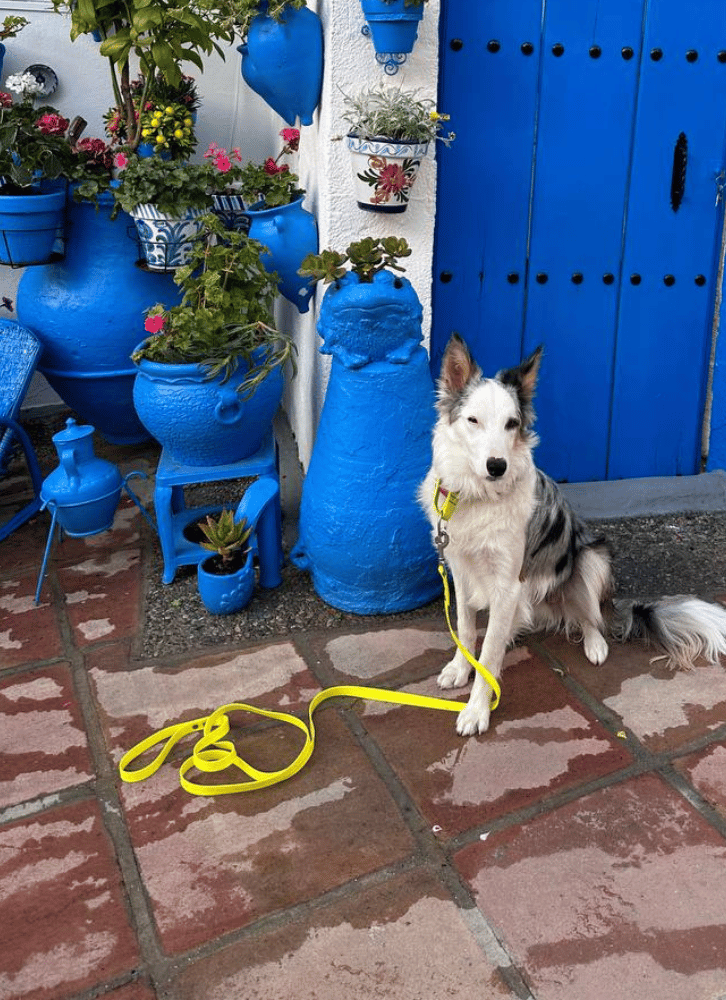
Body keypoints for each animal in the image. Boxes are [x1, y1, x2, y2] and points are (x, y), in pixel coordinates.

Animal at [418, 336, 726, 736]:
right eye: (473, 420)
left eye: (511, 424)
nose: (497, 466)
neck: (479, 495)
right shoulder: (460, 568)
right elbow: (467, 630)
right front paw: (460, 668)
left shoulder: (508, 581)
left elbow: (488, 654)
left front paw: (477, 710)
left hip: (592, 558)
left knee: (590, 617)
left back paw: (594, 644)